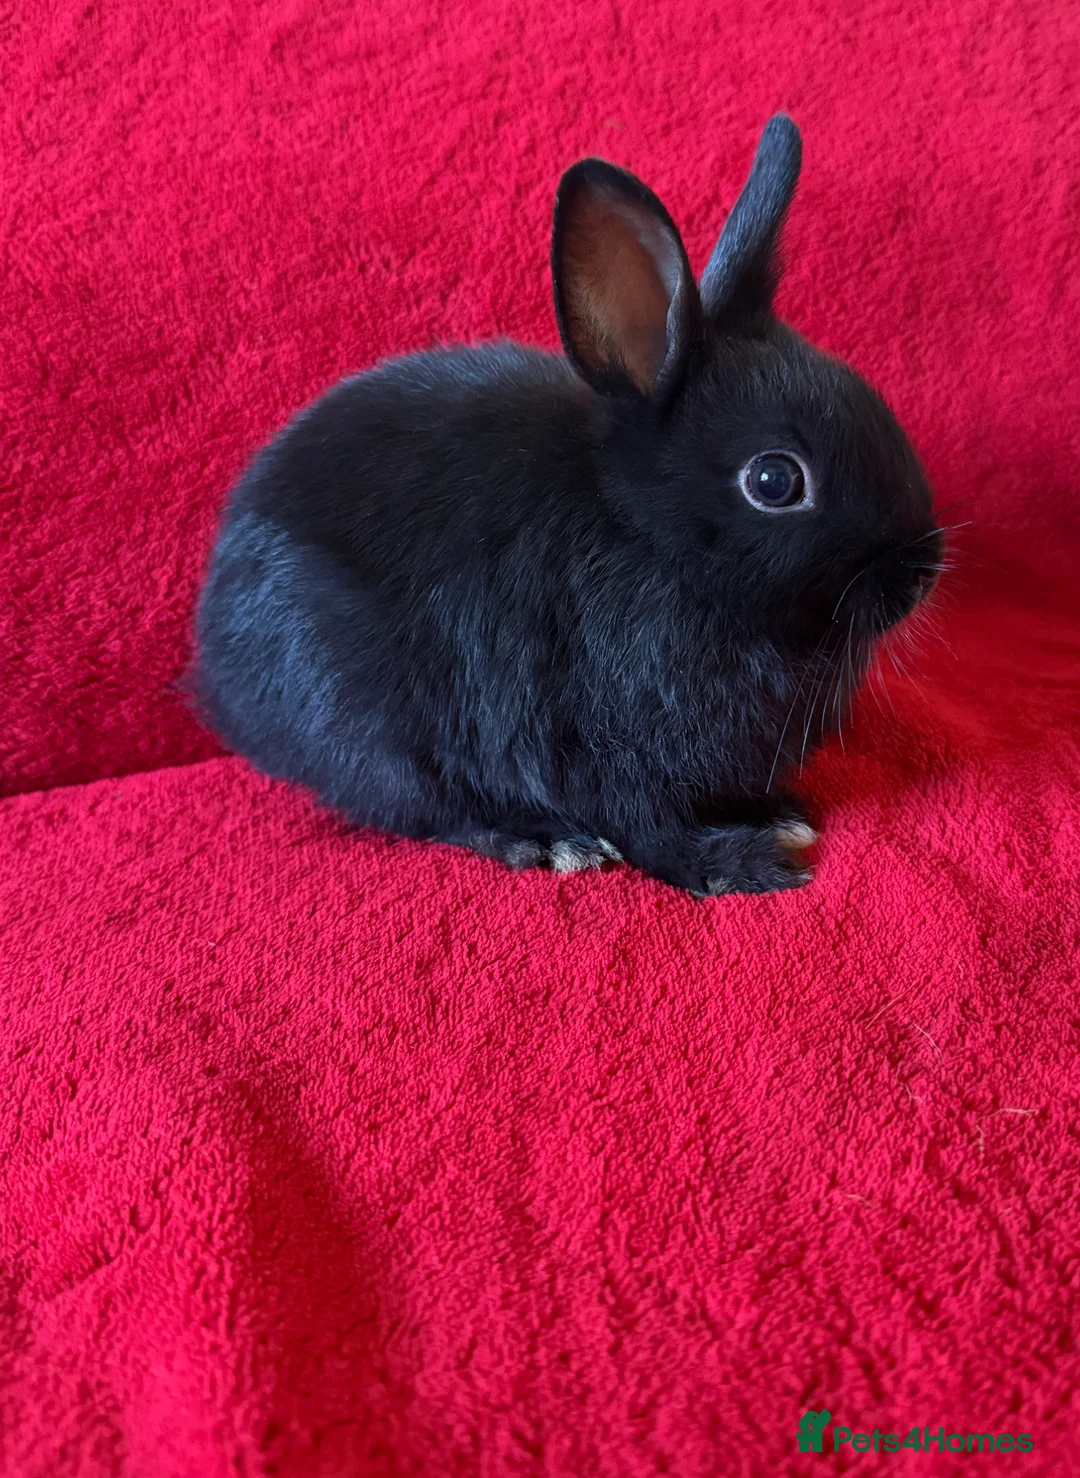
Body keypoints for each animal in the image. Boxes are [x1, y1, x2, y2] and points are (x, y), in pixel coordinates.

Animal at [195, 114, 943, 896]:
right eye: (774, 481)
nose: (923, 571)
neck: (648, 541)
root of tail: (216, 668)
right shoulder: (599, 735)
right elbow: (649, 827)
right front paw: (744, 863)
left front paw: (778, 812)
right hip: (366, 718)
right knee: (427, 808)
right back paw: (541, 839)